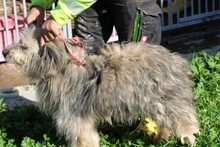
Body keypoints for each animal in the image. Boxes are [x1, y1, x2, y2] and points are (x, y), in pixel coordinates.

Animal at [3, 26, 199, 147]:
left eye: (24, 47)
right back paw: (160, 138)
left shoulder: (75, 118)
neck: (60, 69)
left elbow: (83, 140)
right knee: (166, 123)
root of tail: (176, 60)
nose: (4, 52)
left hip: (167, 102)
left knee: (186, 123)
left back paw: (190, 139)